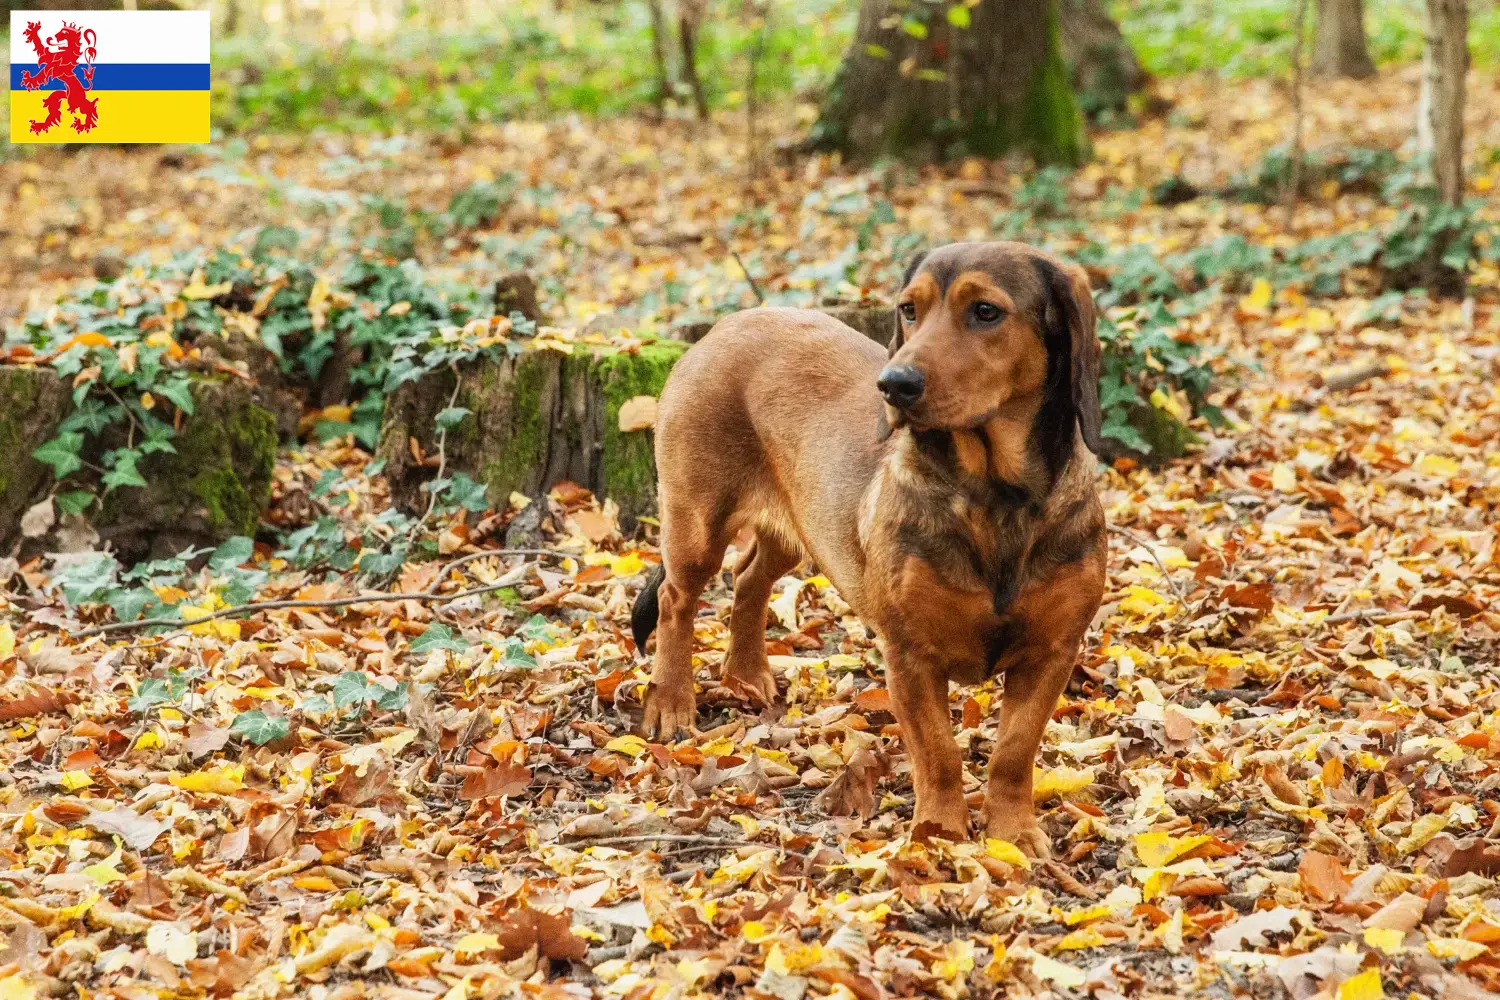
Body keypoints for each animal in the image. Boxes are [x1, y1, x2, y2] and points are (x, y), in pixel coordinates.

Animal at [627, 239, 1110, 851]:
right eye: (909, 309)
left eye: (985, 311)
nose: (894, 384)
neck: (994, 496)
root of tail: (727, 324)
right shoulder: (909, 656)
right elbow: (939, 753)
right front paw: (937, 837)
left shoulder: (1052, 652)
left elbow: (1013, 752)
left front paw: (1013, 836)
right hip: (696, 523)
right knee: (676, 600)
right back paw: (671, 702)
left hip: (801, 526)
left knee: (749, 578)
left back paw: (746, 673)